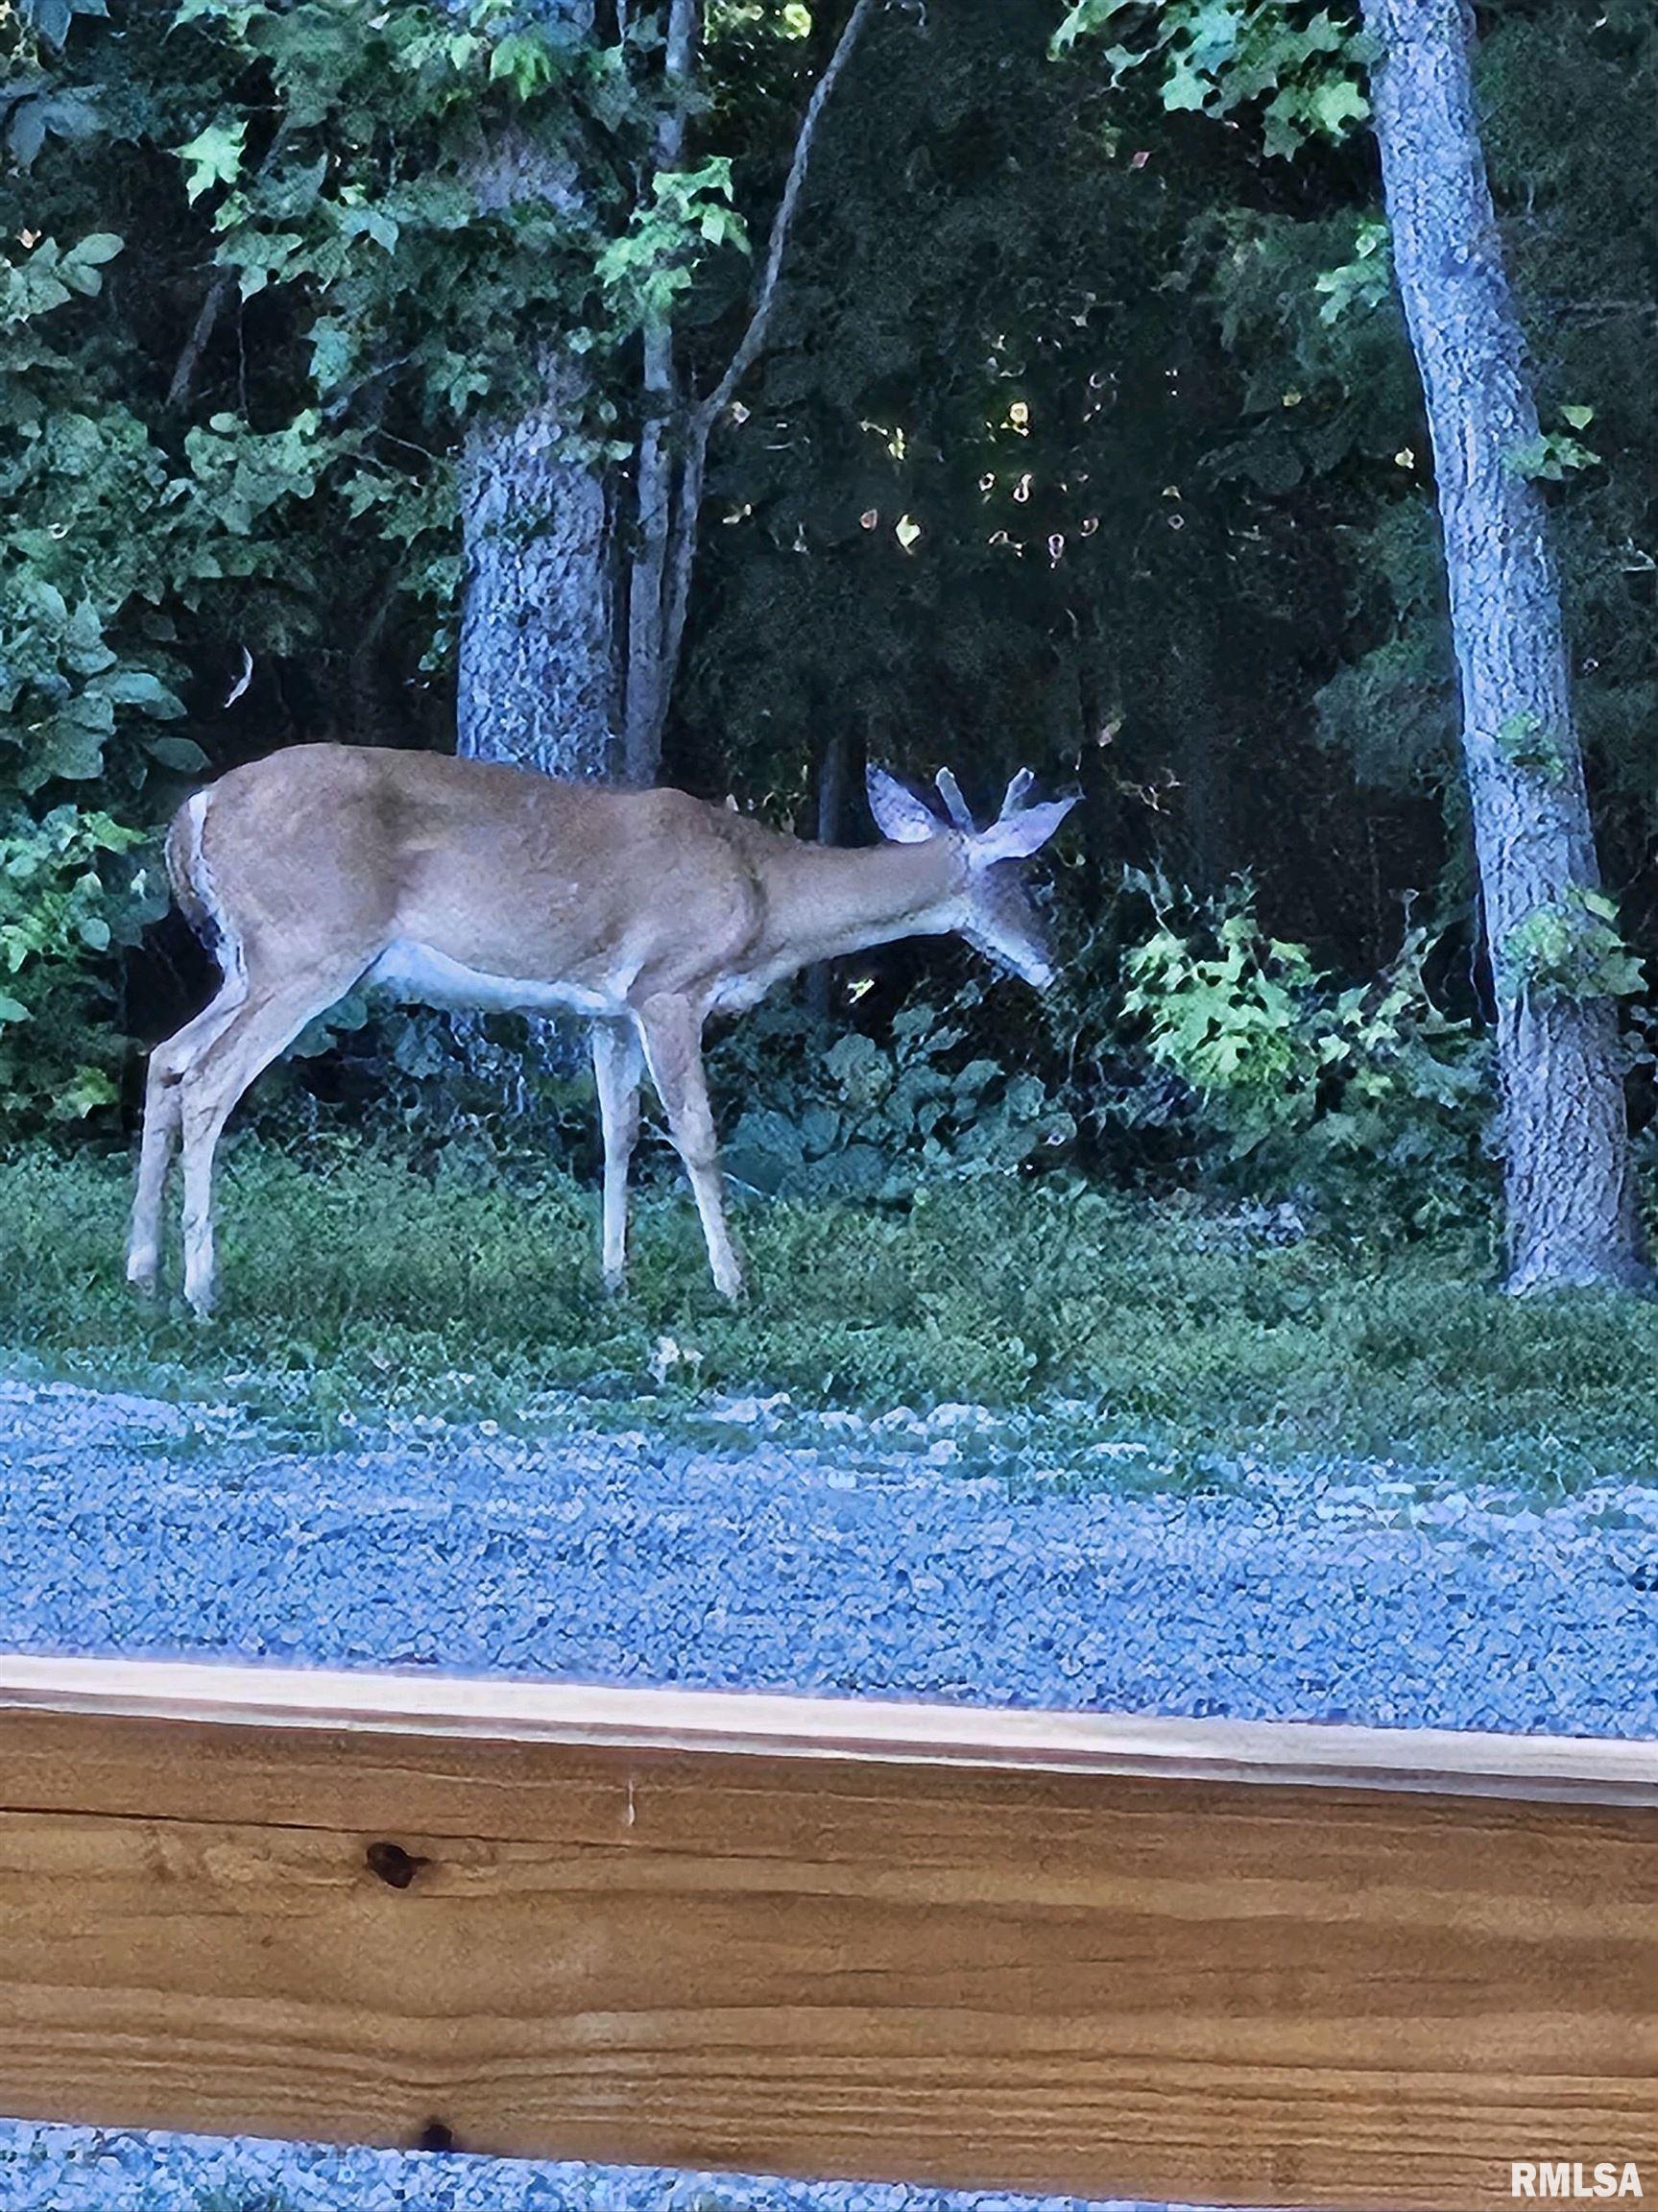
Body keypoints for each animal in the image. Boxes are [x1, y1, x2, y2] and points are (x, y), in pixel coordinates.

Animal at [130, 752, 1078, 1318]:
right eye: (1031, 875)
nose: (1054, 962)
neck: (765, 893)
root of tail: (197, 807)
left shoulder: (604, 1011)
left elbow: (617, 1133)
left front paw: (614, 1279)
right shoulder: (669, 986)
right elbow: (696, 1136)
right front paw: (733, 1283)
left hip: (249, 961)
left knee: (166, 1059)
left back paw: (142, 1269)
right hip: (309, 948)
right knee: (210, 1081)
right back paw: (202, 1290)